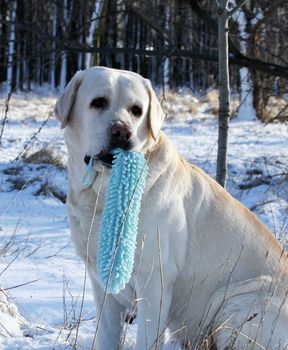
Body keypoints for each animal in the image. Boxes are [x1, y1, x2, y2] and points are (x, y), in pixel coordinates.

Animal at [55, 67, 288, 348]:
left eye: (136, 110)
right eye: (98, 102)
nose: (122, 132)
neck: (103, 196)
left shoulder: (154, 281)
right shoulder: (103, 285)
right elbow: (107, 336)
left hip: (233, 302)